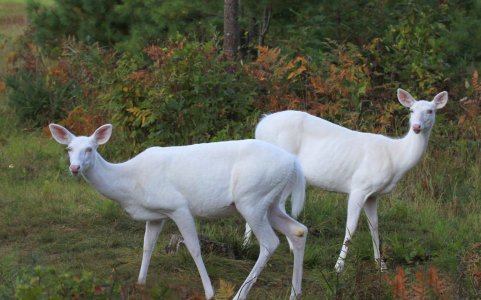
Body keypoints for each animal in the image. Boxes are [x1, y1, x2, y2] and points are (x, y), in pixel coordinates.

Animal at [49, 123, 308, 298]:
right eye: (69, 149)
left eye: (90, 149)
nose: (74, 168)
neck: (130, 184)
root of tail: (295, 164)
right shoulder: (156, 214)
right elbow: (147, 245)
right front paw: (140, 283)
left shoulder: (178, 206)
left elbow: (194, 248)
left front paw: (210, 291)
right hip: (269, 202)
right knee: (298, 230)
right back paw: (295, 293)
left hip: (251, 198)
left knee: (270, 242)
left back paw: (239, 294)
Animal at [246, 88, 448, 272]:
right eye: (411, 110)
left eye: (430, 111)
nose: (416, 127)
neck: (396, 158)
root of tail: (260, 125)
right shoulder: (360, 186)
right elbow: (351, 227)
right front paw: (338, 266)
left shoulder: (373, 195)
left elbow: (374, 226)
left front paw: (380, 265)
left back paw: (248, 243)